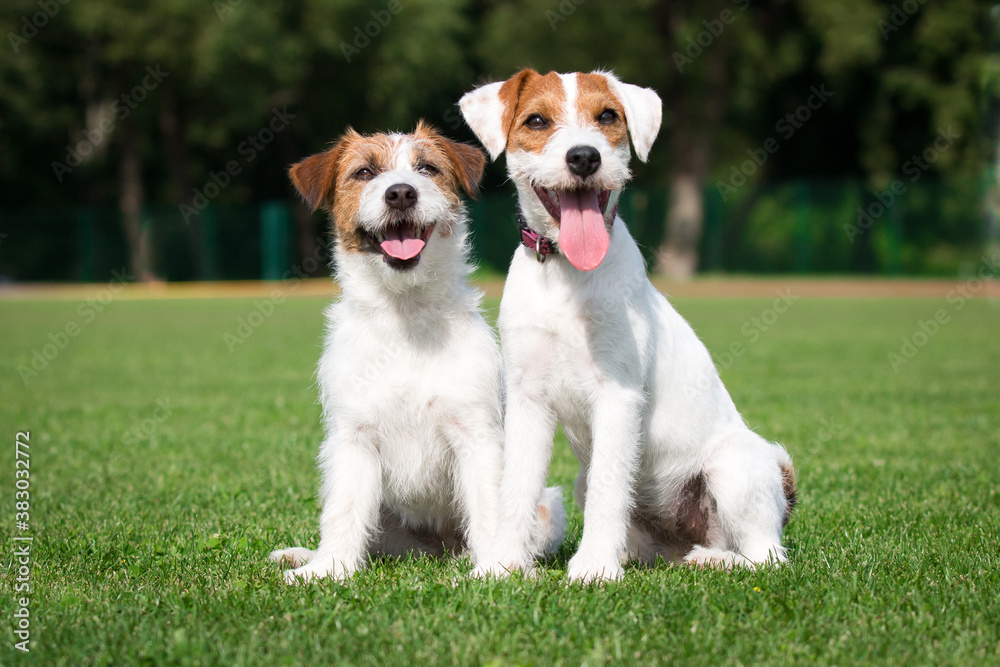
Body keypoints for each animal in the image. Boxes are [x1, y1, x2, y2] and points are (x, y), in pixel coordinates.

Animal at [270, 122, 568, 580]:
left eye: (427, 168)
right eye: (364, 172)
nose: (400, 193)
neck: (405, 316)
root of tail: (438, 549)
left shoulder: (476, 434)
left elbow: (488, 505)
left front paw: (496, 570)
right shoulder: (353, 438)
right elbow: (343, 510)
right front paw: (329, 569)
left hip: (548, 505)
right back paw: (305, 555)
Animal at [460, 69, 796, 584]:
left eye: (607, 117)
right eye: (536, 120)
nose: (584, 156)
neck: (567, 276)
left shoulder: (617, 394)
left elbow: (608, 488)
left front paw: (593, 569)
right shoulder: (527, 397)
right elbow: (517, 486)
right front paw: (502, 564)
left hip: (734, 468)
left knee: (768, 556)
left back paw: (712, 559)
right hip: (591, 484)